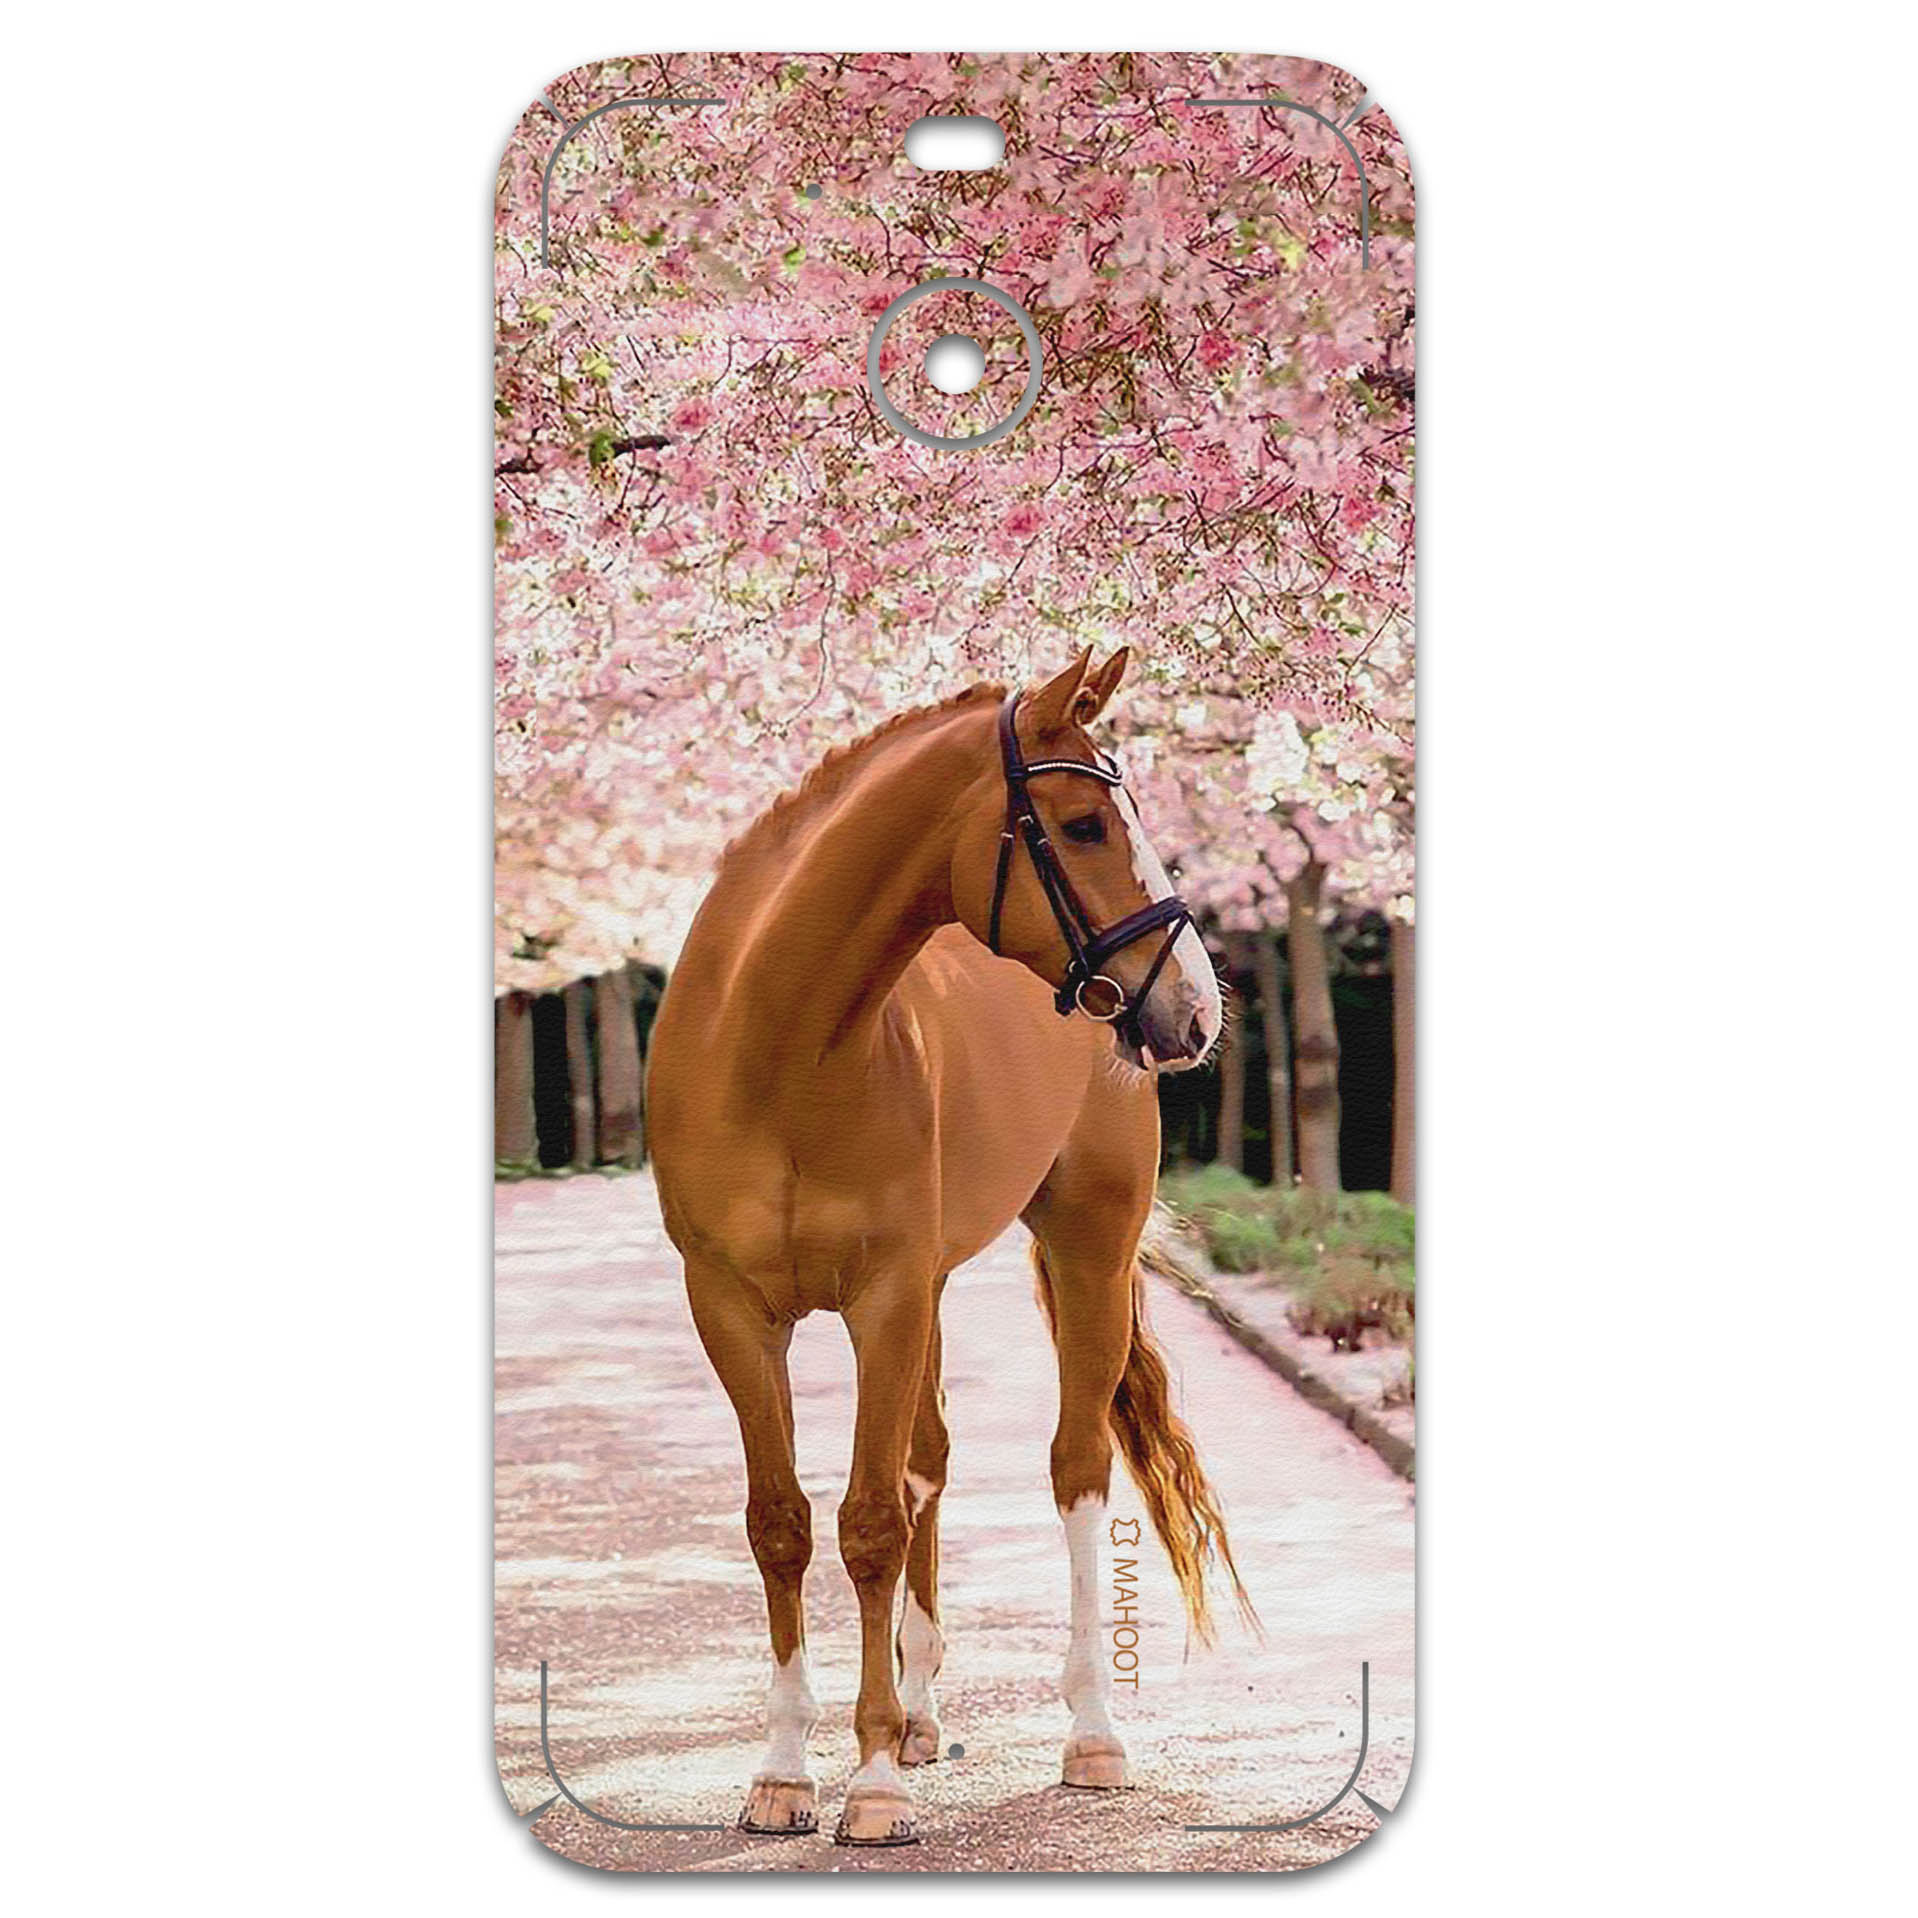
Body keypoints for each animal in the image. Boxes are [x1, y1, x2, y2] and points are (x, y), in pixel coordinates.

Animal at [646, 646, 1247, 1846]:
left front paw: (871, 1784)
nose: (1197, 1009)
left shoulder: (882, 1297)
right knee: (929, 1460)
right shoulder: (733, 1309)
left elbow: (871, 1522)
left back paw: (1090, 1734)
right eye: (1082, 824)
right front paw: (785, 1772)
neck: (775, 1047)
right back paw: (921, 1715)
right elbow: (782, 1523)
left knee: (1073, 1467)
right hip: (928, 1290)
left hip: (1086, 1248)